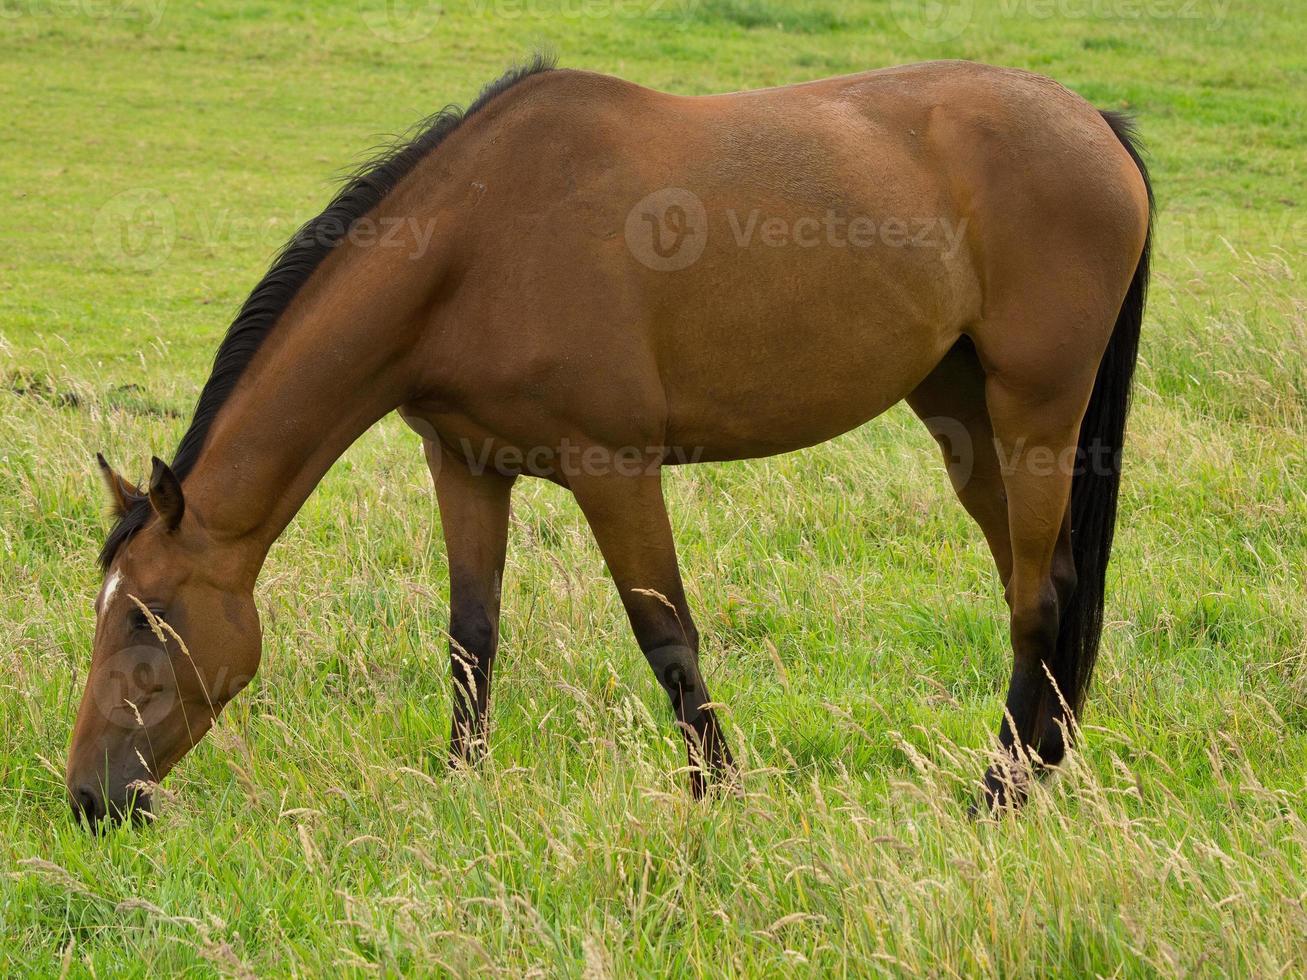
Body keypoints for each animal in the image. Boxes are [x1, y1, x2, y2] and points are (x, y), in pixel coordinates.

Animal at [66, 57, 1150, 825]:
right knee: (1042, 587)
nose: (88, 798)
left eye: (148, 618)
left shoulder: (613, 470)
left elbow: (666, 638)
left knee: (1035, 599)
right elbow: (471, 636)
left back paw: (996, 793)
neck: (477, 243)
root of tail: (1094, 122)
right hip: (962, 414)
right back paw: (1039, 768)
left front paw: (720, 796)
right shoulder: (465, 465)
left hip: (1034, 412)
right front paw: (461, 787)